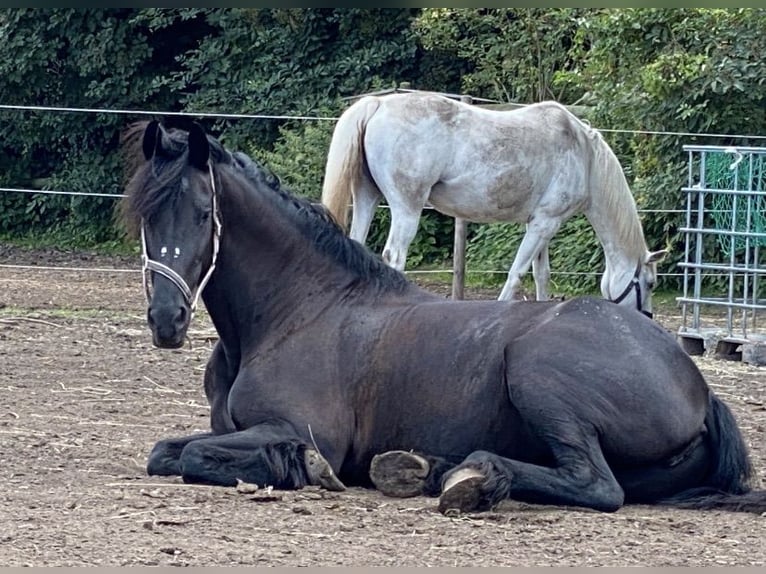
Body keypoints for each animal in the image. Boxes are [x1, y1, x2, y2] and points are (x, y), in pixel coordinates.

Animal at [120, 121, 766, 516]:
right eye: (147, 216)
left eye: (204, 213)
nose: (166, 320)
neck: (297, 312)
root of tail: (698, 385)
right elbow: (166, 452)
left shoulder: (300, 428)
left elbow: (191, 456)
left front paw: (302, 466)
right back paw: (427, 469)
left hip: (537, 372)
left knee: (597, 486)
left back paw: (471, 476)